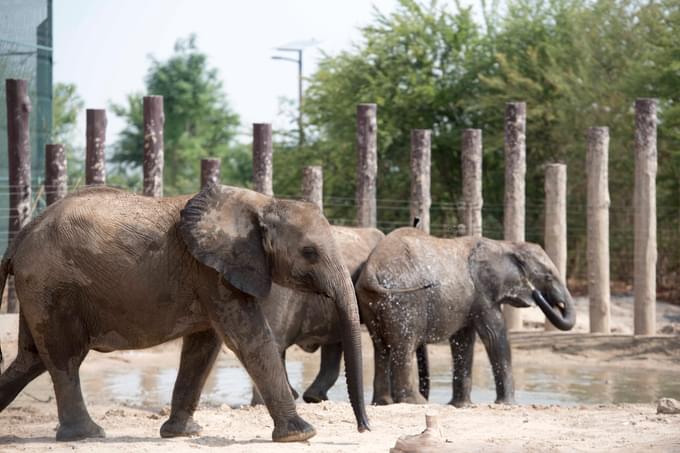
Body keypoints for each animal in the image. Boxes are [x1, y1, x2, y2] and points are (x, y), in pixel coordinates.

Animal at [0, 184, 370, 442]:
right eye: (310, 252)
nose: (364, 429)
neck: (264, 202)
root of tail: (20, 237)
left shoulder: (212, 272)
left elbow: (204, 347)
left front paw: (184, 433)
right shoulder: (210, 270)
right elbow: (248, 339)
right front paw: (301, 434)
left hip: (40, 289)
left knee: (30, 359)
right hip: (52, 286)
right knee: (65, 358)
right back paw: (88, 435)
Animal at [356, 226, 572, 406]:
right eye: (548, 277)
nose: (537, 294)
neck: (506, 245)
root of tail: (371, 271)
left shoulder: (470, 300)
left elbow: (464, 341)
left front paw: (461, 405)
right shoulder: (483, 293)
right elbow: (494, 336)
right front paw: (508, 404)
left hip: (373, 302)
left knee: (381, 347)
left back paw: (383, 402)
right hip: (404, 300)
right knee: (404, 345)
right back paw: (416, 402)